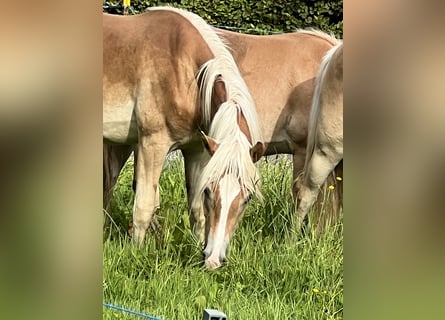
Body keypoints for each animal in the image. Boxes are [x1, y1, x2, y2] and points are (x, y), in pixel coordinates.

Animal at [103, 6, 264, 268]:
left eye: (247, 198)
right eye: (210, 191)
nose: (214, 260)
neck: (186, 72)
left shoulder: (197, 150)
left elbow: (196, 211)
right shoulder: (152, 144)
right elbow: (144, 206)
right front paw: (135, 253)